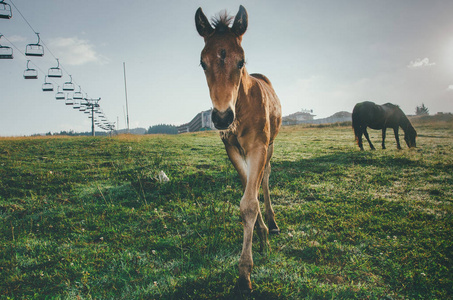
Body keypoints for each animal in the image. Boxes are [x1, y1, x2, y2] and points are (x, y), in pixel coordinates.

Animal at [195, 4, 280, 290]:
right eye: (202, 62)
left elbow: (250, 202)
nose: (222, 118)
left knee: (266, 177)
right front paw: (261, 236)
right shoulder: (232, 149)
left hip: (271, 144)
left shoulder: (259, 147)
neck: (241, 107)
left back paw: (273, 222)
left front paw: (245, 274)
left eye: (241, 61)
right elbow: (246, 193)